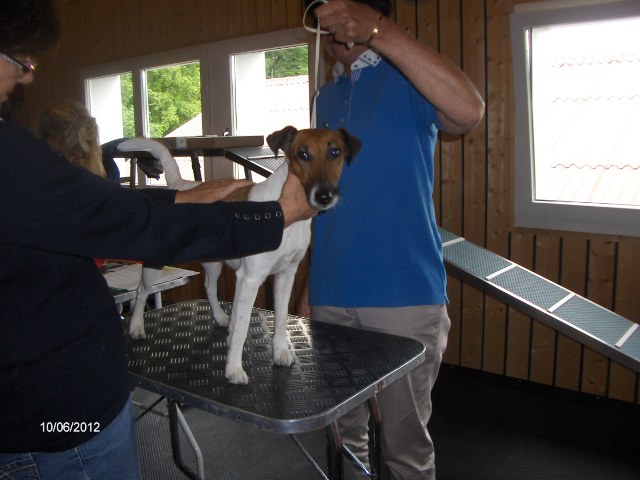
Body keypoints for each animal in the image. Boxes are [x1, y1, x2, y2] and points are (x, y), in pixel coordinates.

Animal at [116, 125, 360, 384]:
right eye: (302, 155)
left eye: (335, 152)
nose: (324, 196)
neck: (285, 213)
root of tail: (180, 186)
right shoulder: (250, 279)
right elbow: (243, 329)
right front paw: (233, 369)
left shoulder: (286, 275)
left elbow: (281, 318)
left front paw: (280, 352)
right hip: (158, 260)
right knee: (141, 292)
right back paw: (136, 326)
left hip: (214, 261)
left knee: (209, 287)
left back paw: (221, 317)